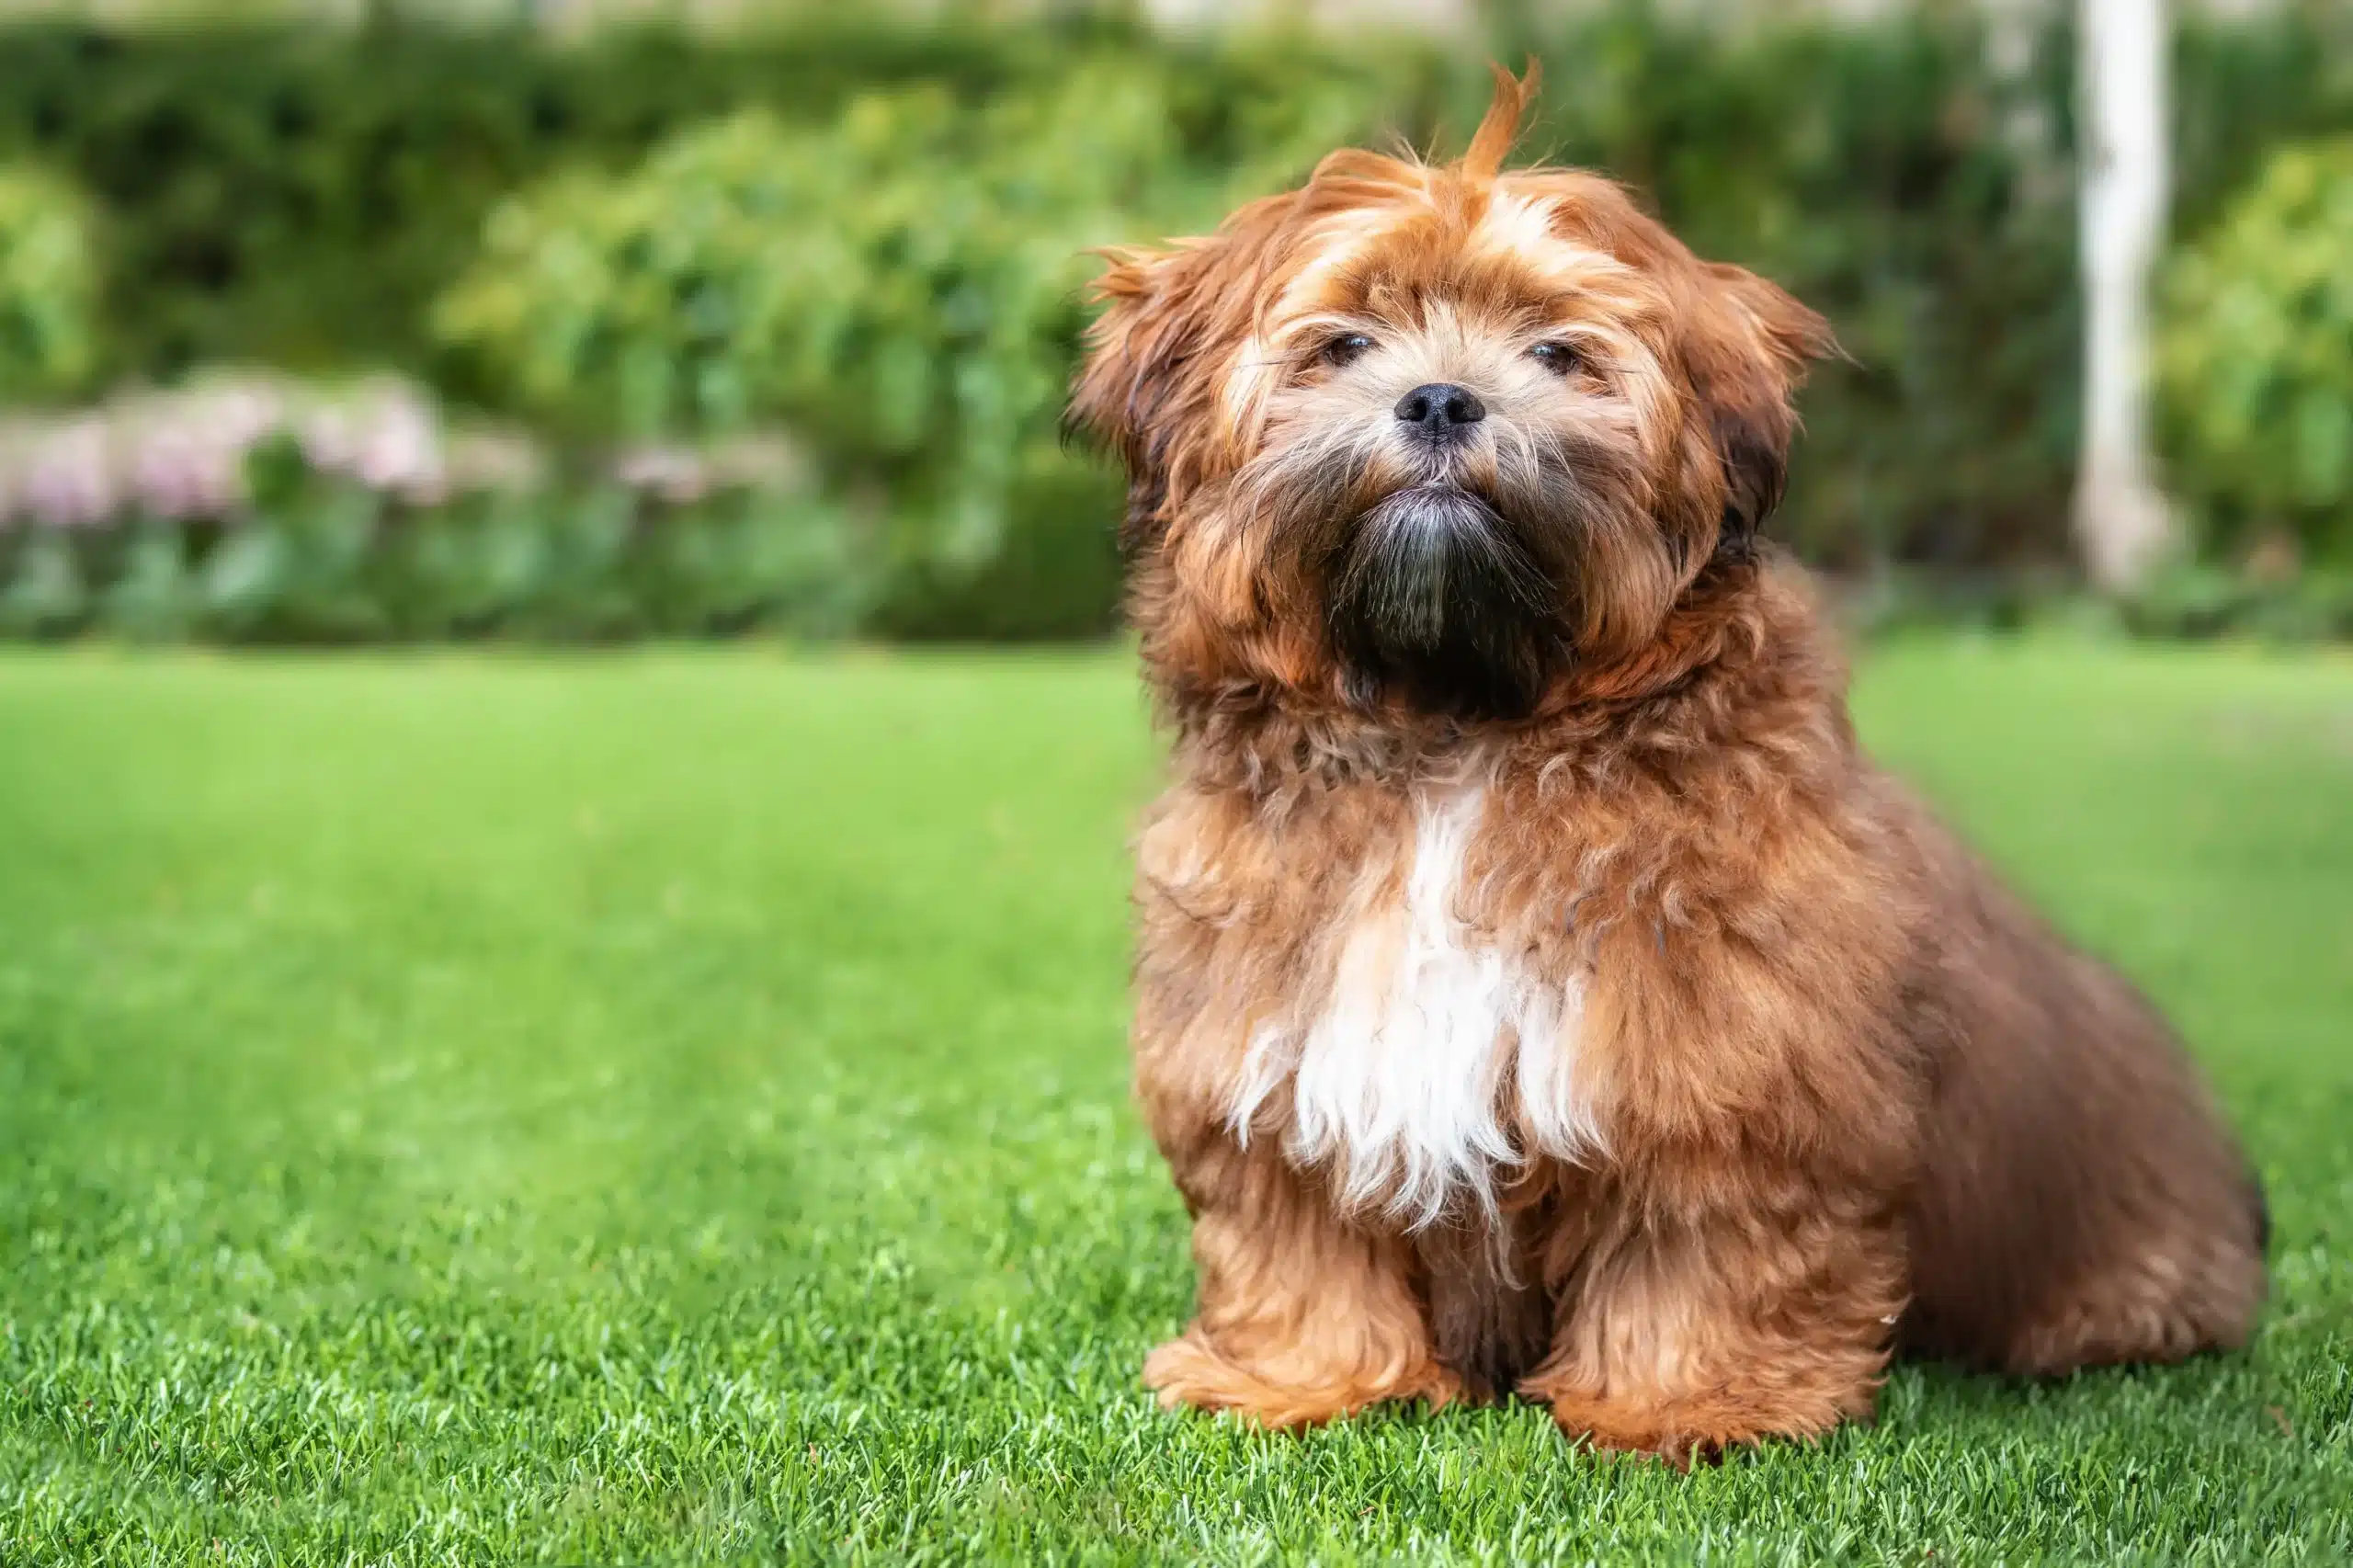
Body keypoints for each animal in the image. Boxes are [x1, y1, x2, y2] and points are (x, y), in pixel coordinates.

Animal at [1068, 61, 2258, 1449]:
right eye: (1344, 344)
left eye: (1555, 352)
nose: (1440, 398)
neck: (1455, 733)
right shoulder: (1269, 1042)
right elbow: (1295, 1227)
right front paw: (1300, 1376)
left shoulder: (1733, 1063)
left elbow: (1704, 1238)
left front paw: (1680, 1400)